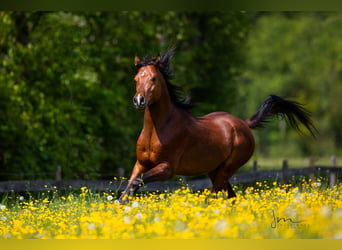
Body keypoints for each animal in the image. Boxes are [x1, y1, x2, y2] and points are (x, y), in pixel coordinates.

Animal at [119, 48, 316, 203]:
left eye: (153, 78)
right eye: (135, 79)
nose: (139, 100)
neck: (156, 131)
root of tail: (244, 124)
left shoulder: (167, 168)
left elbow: (136, 183)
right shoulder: (140, 164)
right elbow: (127, 188)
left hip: (227, 169)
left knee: (218, 196)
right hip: (216, 170)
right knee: (231, 196)